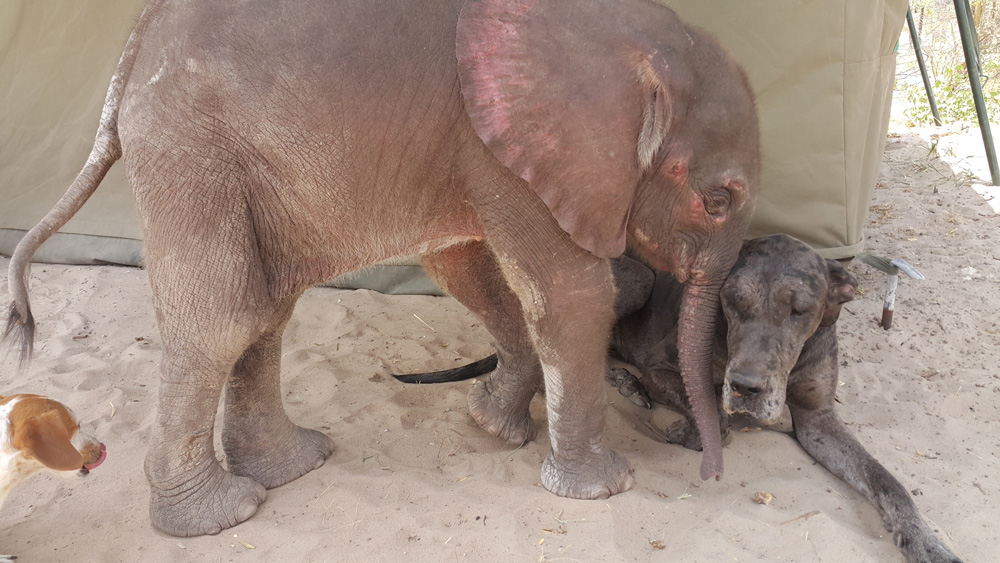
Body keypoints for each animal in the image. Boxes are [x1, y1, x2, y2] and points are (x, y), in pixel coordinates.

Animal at [396, 235, 960, 563]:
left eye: (800, 309)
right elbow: (718, 420)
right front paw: (689, 428)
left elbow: (888, 482)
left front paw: (927, 541)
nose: (747, 387)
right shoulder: (666, 367)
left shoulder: (820, 419)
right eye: (731, 302)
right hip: (635, 279)